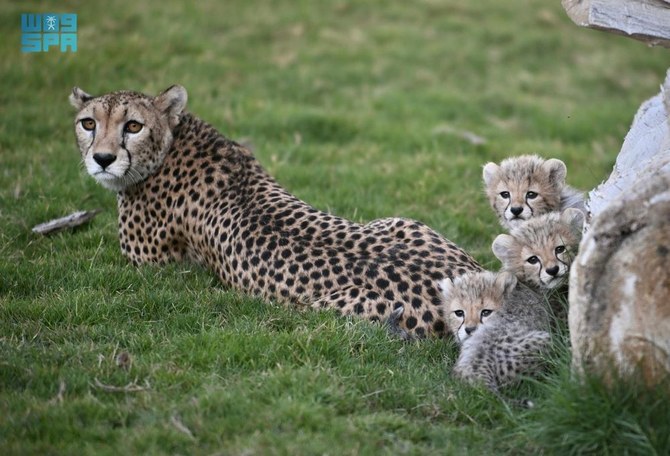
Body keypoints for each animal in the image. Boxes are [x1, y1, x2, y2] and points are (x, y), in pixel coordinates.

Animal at [71, 85, 484, 336]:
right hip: (402, 221)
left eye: (133, 126)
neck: (174, 141)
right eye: (88, 123)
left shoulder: (151, 267)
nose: (102, 159)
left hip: (327, 311)